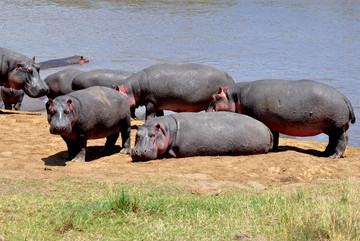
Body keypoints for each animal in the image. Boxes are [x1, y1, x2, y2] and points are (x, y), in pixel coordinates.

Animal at [207, 79, 356, 158]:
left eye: (214, 97)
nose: (205, 112)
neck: (235, 97)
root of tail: (344, 98)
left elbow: (273, 135)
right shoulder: (273, 122)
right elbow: (276, 136)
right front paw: (274, 149)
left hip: (336, 126)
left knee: (343, 139)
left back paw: (333, 156)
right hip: (330, 127)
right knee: (333, 140)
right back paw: (325, 153)